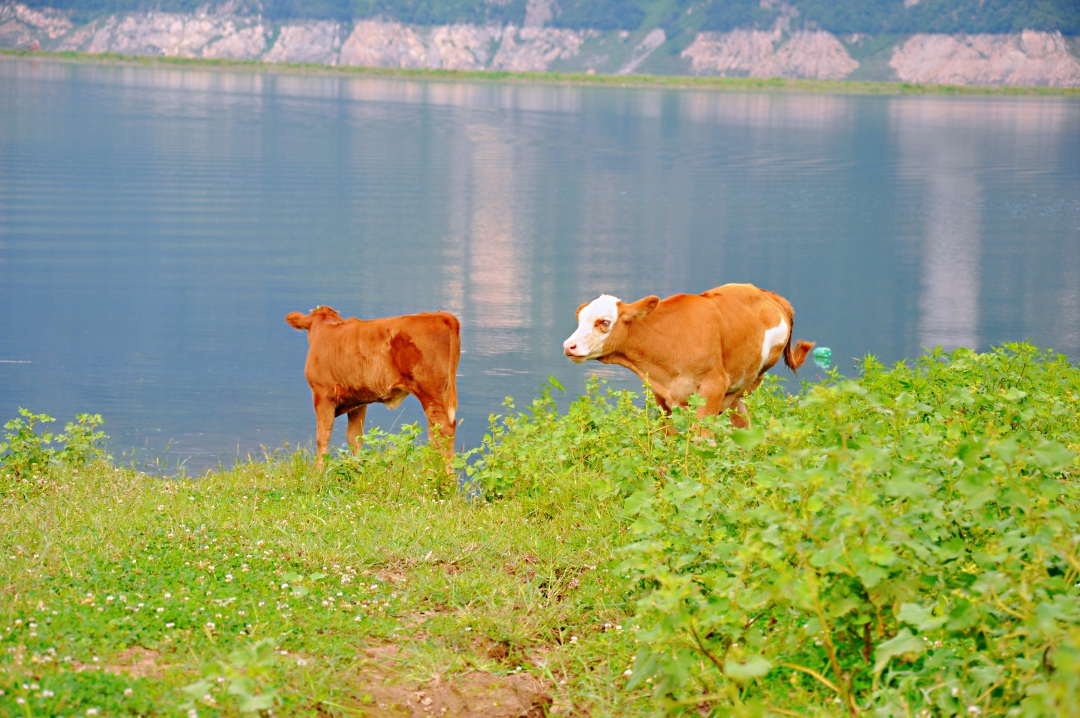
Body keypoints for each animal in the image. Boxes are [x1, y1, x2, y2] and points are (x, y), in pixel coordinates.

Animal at [285, 304, 457, 464]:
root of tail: (439, 316)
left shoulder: (322, 394)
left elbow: (322, 436)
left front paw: (319, 471)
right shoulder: (358, 401)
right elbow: (355, 438)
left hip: (429, 391)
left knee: (444, 430)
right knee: (434, 433)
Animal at [565, 280, 812, 425]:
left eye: (604, 322)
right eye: (580, 320)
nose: (569, 346)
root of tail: (767, 293)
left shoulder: (713, 386)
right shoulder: (663, 395)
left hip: (750, 377)